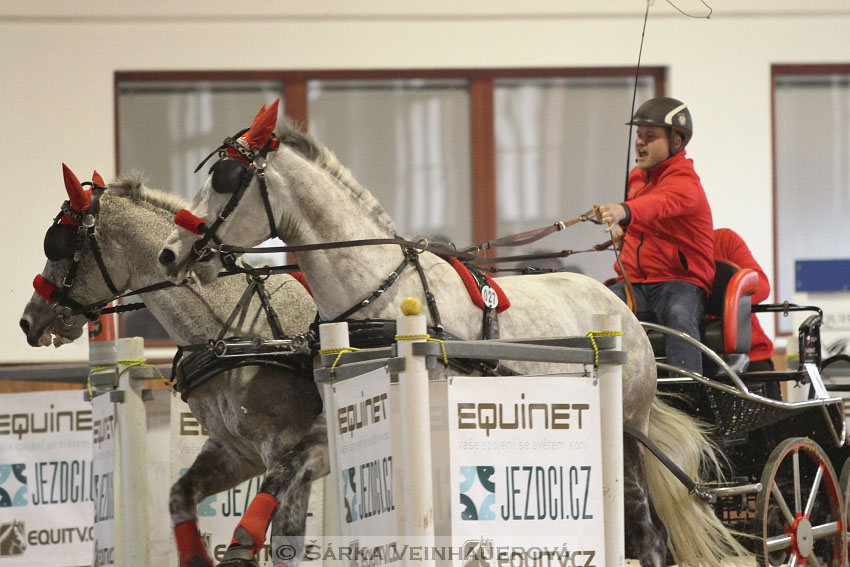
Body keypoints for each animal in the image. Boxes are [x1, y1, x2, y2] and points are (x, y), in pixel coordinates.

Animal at [20, 165, 324, 567]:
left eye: (57, 244)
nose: (27, 320)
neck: (241, 334)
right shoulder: (236, 450)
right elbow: (180, 495)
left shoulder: (289, 446)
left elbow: (285, 535)